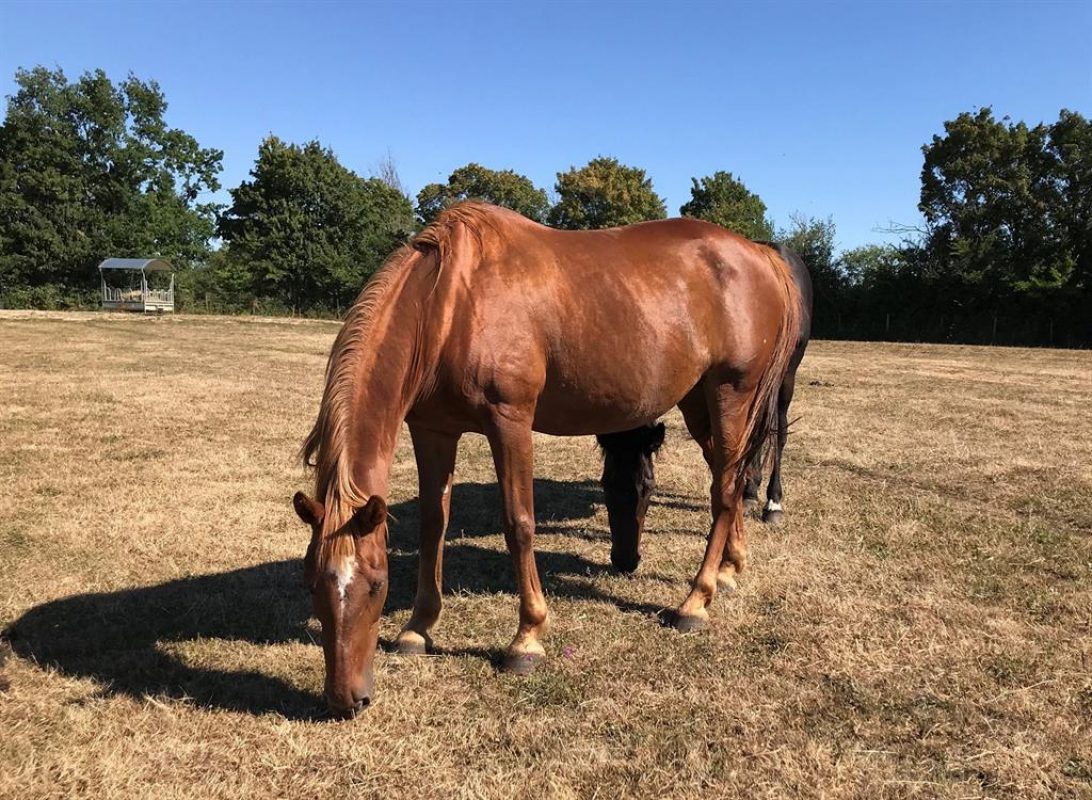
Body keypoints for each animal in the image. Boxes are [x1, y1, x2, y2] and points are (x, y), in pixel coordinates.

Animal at [599, 242, 813, 570]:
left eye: (647, 487)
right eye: (606, 484)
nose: (625, 561)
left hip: (784, 378)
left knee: (778, 433)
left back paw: (772, 502)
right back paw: (750, 490)